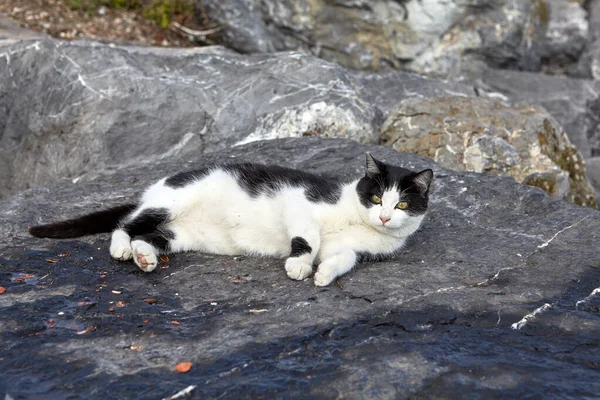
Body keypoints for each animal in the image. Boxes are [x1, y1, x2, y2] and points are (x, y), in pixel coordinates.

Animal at [29, 154, 432, 288]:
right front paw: (300, 265)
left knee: (152, 237)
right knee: (127, 223)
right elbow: (309, 238)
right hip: (171, 201)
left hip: (182, 233)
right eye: (377, 198)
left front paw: (322, 274)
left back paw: (144, 258)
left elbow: (343, 258)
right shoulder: (300, 202)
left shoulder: (351, 250)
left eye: (402, 204)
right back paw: (120, 248)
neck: (356, 220)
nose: (384, 216)